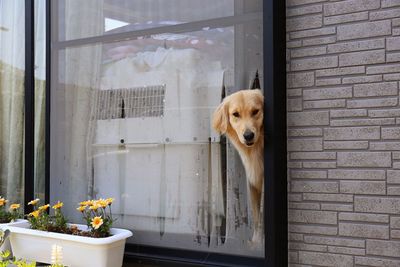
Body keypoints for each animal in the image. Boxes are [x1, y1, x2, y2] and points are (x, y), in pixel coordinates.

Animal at [211, 89, 264, 244]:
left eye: (255, 111)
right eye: (235, 114)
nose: (248, 135)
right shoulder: (253, 184)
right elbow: (257, 217)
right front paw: (257, 241)